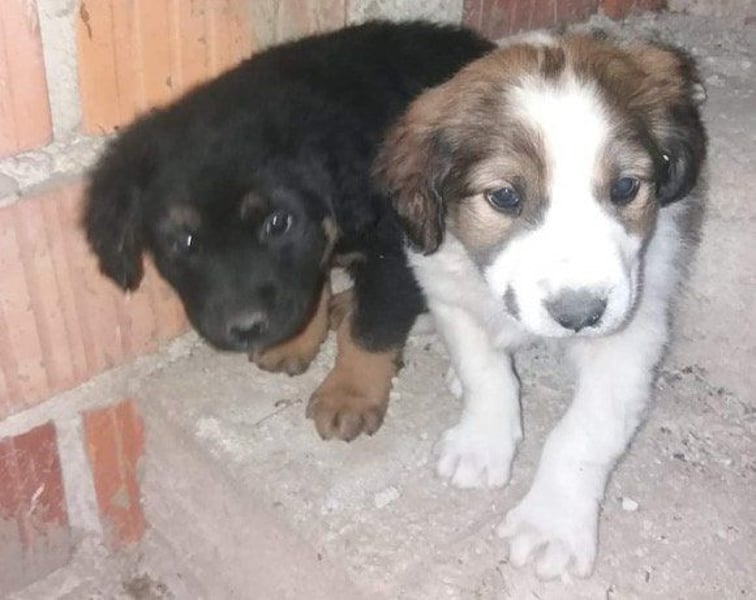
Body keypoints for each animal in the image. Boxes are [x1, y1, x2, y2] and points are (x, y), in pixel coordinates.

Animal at [83, 21, 494, 441]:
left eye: (278, 223)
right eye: (184, 241)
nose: (247, 328)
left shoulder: (396, 254)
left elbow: (371, 327)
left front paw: (349, 393)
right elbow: (311, 288)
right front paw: (295, 339)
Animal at [376, 33, 706, 577]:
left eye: (625, 187)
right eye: (505, 196)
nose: (579, 317)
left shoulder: (632, 331)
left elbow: (583, 432)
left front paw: (551, 524)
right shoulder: (445, 285)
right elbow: (484, 373)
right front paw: (481, 443)